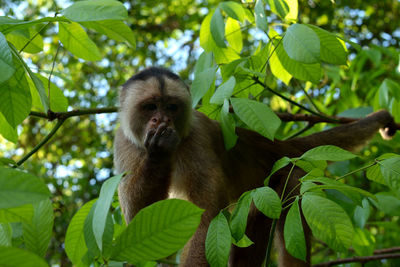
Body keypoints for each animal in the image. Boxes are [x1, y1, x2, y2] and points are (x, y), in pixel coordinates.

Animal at [114, 67, 396, 267]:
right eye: (151, 106)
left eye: (171, 107)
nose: (161, 119)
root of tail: (277, 146)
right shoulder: (124, 141)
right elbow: (141, 225)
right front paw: (158, 152)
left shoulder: (196, 137)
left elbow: (207, 220)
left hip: (288, 171)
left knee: (285, 190)